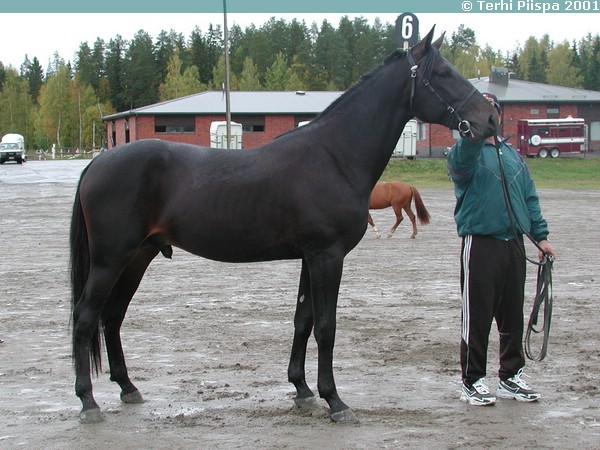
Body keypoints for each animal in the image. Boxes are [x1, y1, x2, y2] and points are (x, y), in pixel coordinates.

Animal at [70, 26, 497, 425]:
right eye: (443, 73)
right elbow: (326, 326)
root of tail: (97, 162)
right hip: (111, 259)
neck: (335, 156)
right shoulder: (328, 256)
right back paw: (88, 402)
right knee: (86, 316)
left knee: (112, 316)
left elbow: (302, 320)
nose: (490, 118)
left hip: (137, 257)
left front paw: (302, 390)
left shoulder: (310, 257)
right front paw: (335, 401)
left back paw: (128, 388)